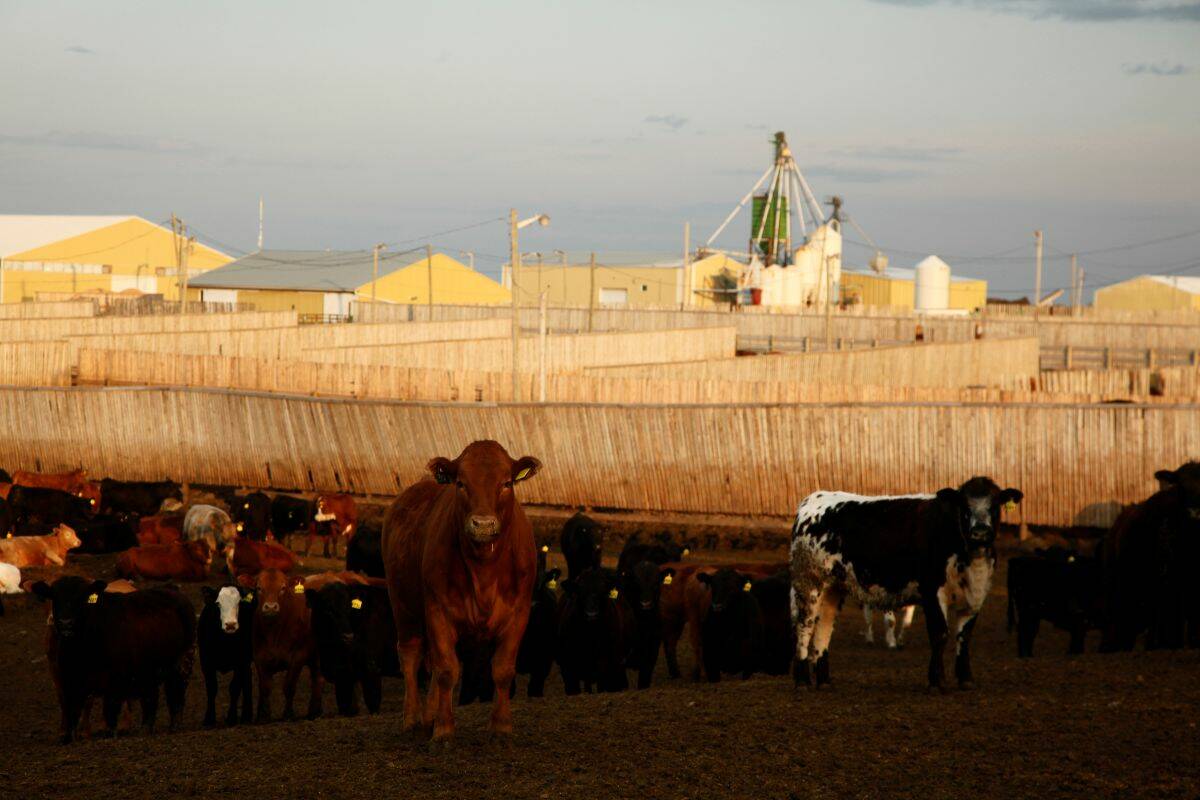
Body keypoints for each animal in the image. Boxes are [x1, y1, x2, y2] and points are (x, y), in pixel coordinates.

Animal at [31, 576, 195, 743]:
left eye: (82, 597)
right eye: (54, 597)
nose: (66, 622)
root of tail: (172, 589)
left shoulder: (116, 679)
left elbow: (110, 708)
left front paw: (109, 735)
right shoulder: (70, 680)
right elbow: (71, 709)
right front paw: (69, 738)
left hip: (183, 661)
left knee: (176, 693)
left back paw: (174, 727)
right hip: (147, 670)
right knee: (151, 697)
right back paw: (145, 729)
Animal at [198, 585, 255, 726]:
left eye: (239, 602)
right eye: (218, 603)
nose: (230, 625)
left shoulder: (241, 662)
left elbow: (234, 687)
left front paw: (231, 718)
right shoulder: (206, 662)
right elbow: (212, 687)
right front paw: (209, 719)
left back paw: (246, 716)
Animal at [248, 568, 322, 722]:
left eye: (283, 588)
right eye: (259, 588)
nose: (270, 607)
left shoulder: (298, 656)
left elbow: (289, 686)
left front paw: (288, 714)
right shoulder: (259, 657)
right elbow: (265, 687)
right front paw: (264, 716)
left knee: (318, 679)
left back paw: (314, 711)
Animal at [381, 439, 541, 744]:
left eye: (506, 483)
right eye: (461, 483)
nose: (483, 524)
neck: (484, 569)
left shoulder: (519, 613)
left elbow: (502, 670)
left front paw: (501, 727)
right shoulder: (438, 611)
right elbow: (447, 670)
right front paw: (444, 730)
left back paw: (428, 717)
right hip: (402, 603)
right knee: (410, 655)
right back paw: (412, 718)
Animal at [789, 477, 1022, 692]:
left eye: (995, 506)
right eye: (964, 507)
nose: (980, 532)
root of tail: (812, 500)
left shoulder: (976, 595)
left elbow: (964, 637)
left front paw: (965, 679)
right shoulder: (932, 592)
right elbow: (940, 634)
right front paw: (936, 681)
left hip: (833, 588)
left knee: (824, 628)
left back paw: (824, 681)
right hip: (808, 582)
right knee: (804, 628)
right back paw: (802, 681)